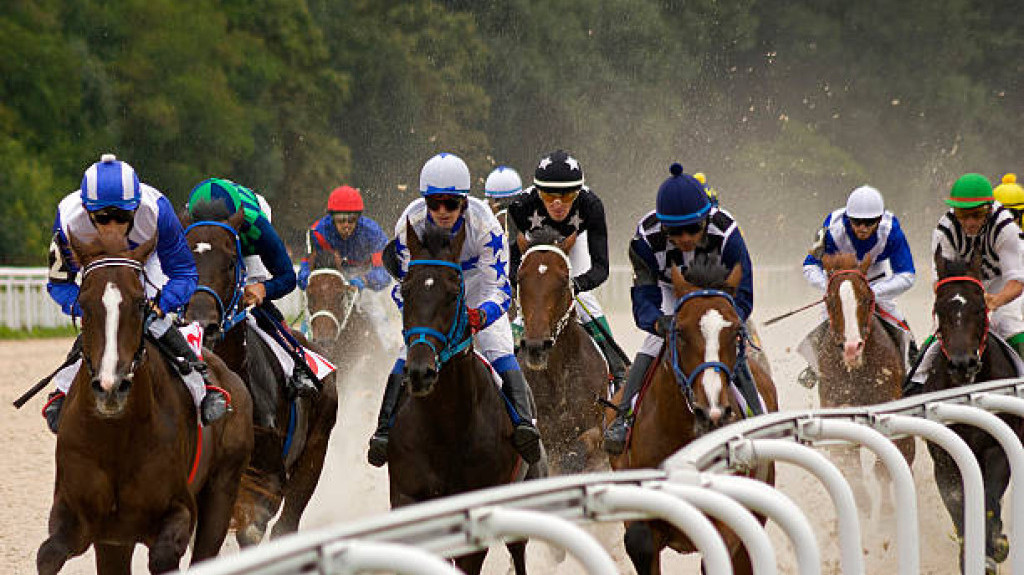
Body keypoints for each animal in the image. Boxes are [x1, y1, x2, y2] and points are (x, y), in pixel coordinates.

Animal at [37, 231, 253, 574]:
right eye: (83, 304)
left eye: (140, 303)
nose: (111, 387)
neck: (115, 438)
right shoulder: (81, 518)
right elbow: (48, 554)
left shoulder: (177, 511)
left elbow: (165, 553)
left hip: (223, 487)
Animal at [388, 221, 530, 575]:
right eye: (405, 290)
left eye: (453, 295)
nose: (420, 372)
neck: (446, 426)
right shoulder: (409, 499)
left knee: (518, 549)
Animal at [815, 253, 915, 514]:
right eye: (830, 300)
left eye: (867, 298)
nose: (852, 348)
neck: (856, 371)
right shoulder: (837, 407)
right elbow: (850, 467)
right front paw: (862, 505)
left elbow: (885, 467)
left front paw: (886, 515)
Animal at [927, 250, 1022, 572]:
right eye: (939, 308)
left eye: (981, 308)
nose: (962, 364)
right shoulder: (944, 456)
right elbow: (958, 501)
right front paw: (970, 554)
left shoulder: (997, 447)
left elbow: (989, 496)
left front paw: (995, 547)